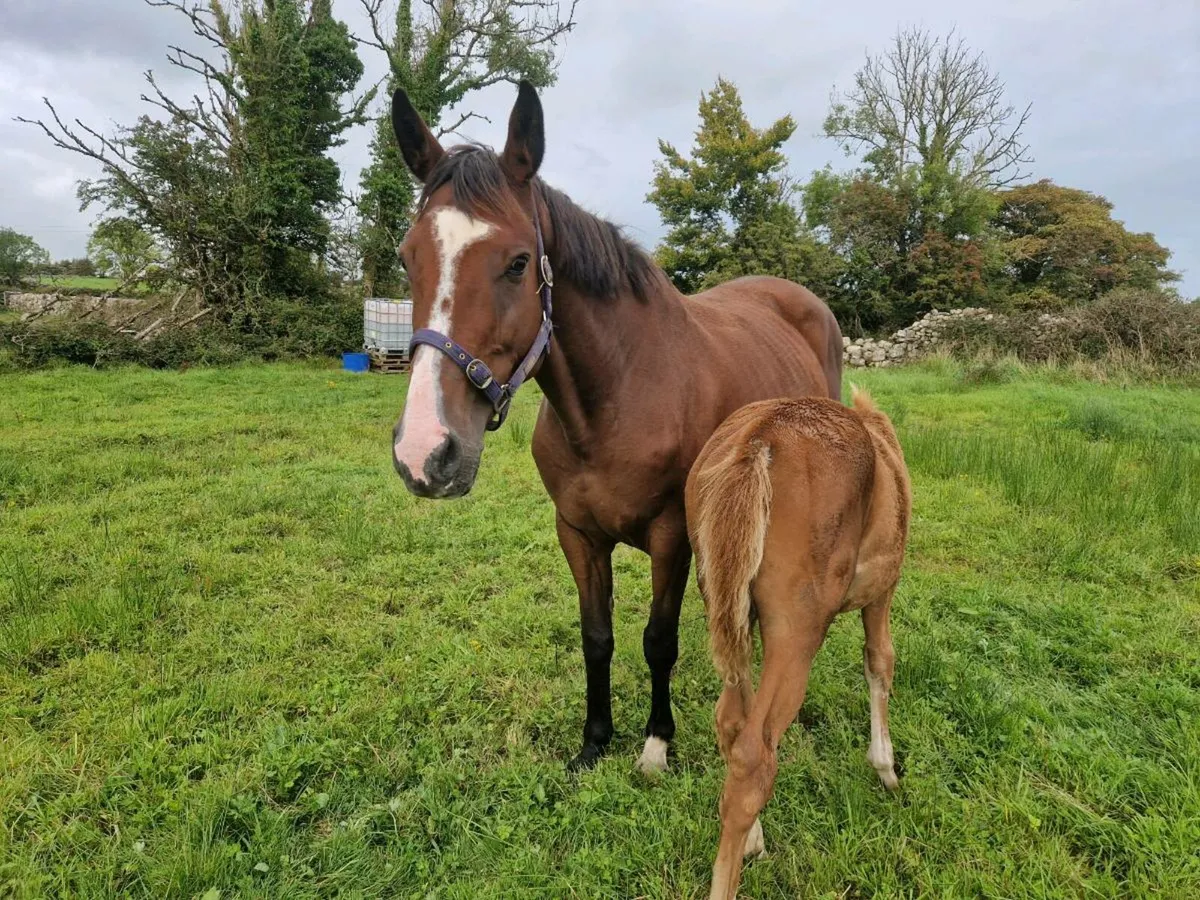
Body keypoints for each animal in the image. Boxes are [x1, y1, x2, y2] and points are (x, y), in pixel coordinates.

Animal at [388, 80, 844, 772]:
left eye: (518, 263)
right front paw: (594, 741)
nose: (425, 452)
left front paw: (656, 745)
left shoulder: (671, 535)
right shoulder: (578, 533)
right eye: (408, 257)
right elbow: (596, 635)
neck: (617, 399)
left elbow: (658, 639)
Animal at [685, 388, 911, 899]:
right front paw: (885, 768)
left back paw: (753, 841)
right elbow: (880, 661)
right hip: (797, 631)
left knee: (732, 724)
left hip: (728, 611)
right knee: (755, 756)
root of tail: (760, 438)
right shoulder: (883, 592)